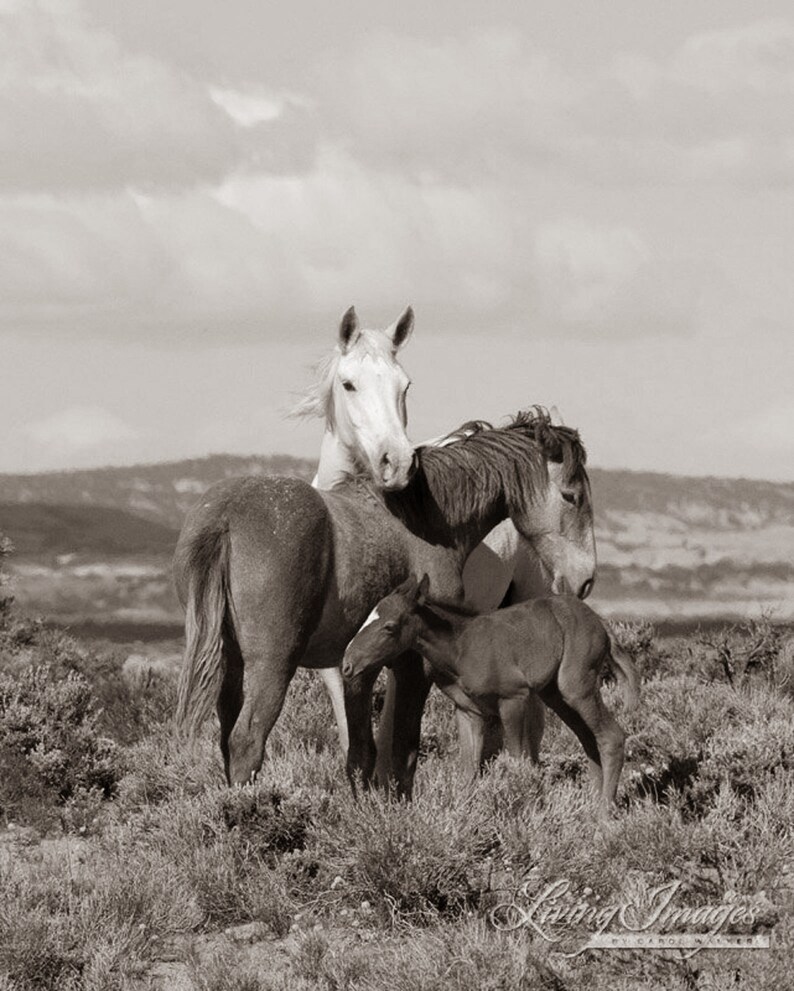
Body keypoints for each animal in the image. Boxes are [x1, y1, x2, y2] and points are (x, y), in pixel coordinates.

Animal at [175, 406, 592, 788]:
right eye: (571, 496)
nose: (585, 579)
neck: (422, 523)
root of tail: (225, 516)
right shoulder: (413, 663)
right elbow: (403, 748)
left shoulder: (360, 666)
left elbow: (361, 752)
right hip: (272, 665)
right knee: (247, 741)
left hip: (231, 665)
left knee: (228, 740)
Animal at [340, 576, 636, 808]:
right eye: (366, 619)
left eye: (389, 627)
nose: (347, 665)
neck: (461, 647)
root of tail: (600, 621)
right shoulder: (469, 712)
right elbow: (468, 770)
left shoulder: (514, 699)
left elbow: (519, 762)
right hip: (556, 696)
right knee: (589, 739)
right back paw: (590, 808)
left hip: (576, 688)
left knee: (611, 737)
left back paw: (602, 818)